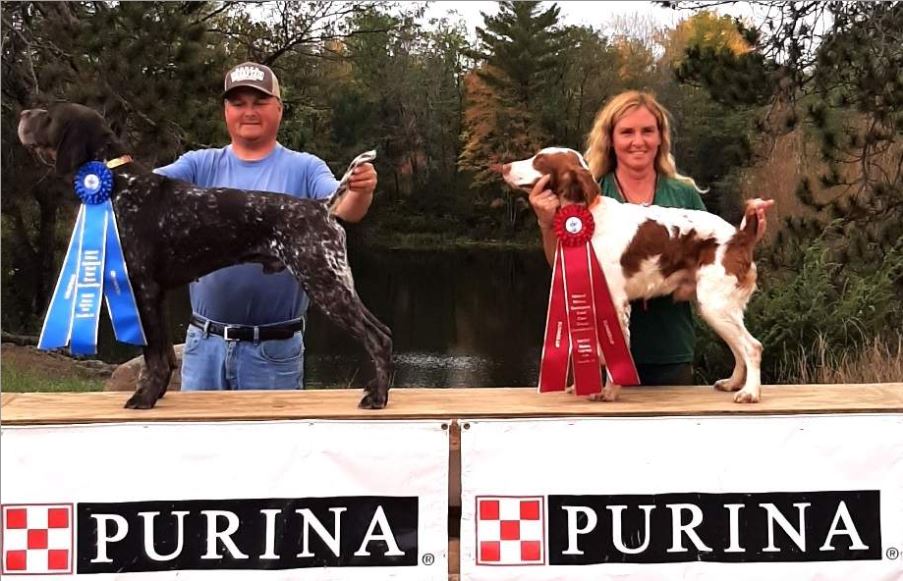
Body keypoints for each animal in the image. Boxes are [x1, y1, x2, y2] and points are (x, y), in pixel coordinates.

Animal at [17, 102, 392, 410]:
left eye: (49, 115)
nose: (23, 114)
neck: (119, 182)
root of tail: (322, 206)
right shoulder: (157, 294)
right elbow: (162, 355)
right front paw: (156, 392)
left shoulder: (143, 288)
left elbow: (154, 356)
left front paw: (144, 398)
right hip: (334, 283)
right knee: (382, 332)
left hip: (325, 283)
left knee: (378, 337)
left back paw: (377, 396)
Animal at [502, 147, 776, 404]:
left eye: (539, 160)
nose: (504, 167)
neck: (588, 216)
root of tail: (740, 235)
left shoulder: (614, 300)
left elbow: (613, 350)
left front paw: (608, 391)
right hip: (713, 306)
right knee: (738, 348)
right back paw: (733, 383)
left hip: (715, 304)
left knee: (752, 347)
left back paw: (750, 393)